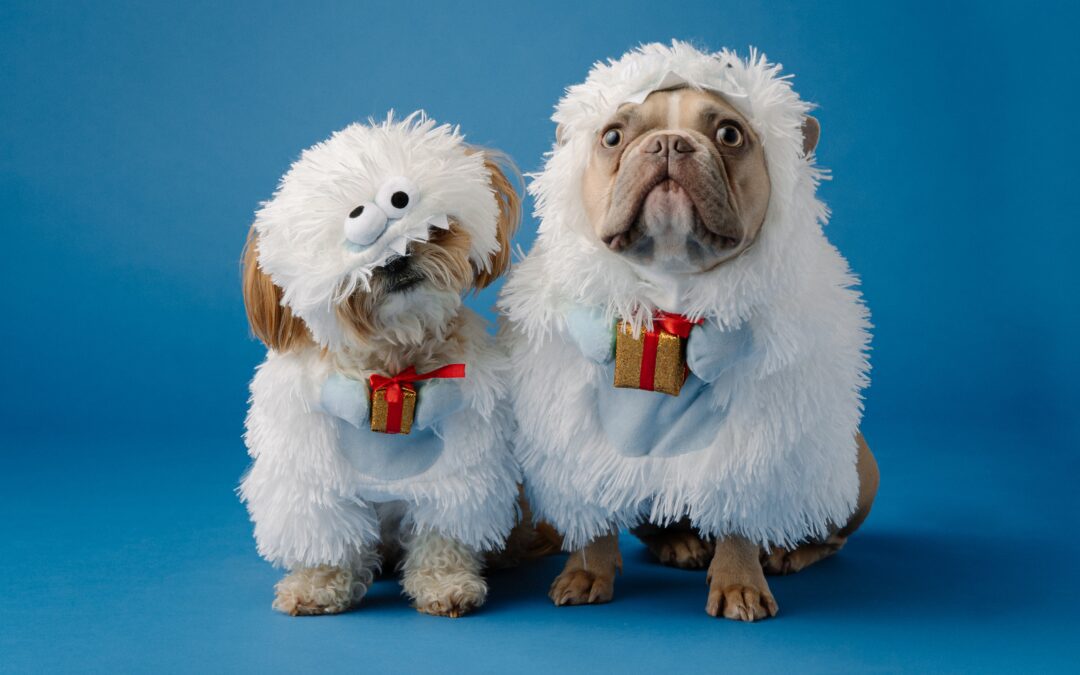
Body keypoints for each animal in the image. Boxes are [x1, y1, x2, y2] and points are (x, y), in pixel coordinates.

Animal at [239, 114, 522, 617]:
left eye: (423, 225)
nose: (394, 258)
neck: (393, 370)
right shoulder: (316, 476)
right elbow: (324, 537)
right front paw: (317, 585)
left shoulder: (458, 469)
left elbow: (443, 532)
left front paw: (445, 582)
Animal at [501, 42, 881, 617]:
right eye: (612, 137)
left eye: (729, 134)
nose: (668, 143)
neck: (668, 305)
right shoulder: (577, 432)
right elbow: (590, 509)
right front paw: (587, 571)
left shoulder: (750, 440)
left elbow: (739, 514)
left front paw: (740, 583)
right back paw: (679, 542)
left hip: (853, 473)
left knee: (823, 528)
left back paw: (787, 550)